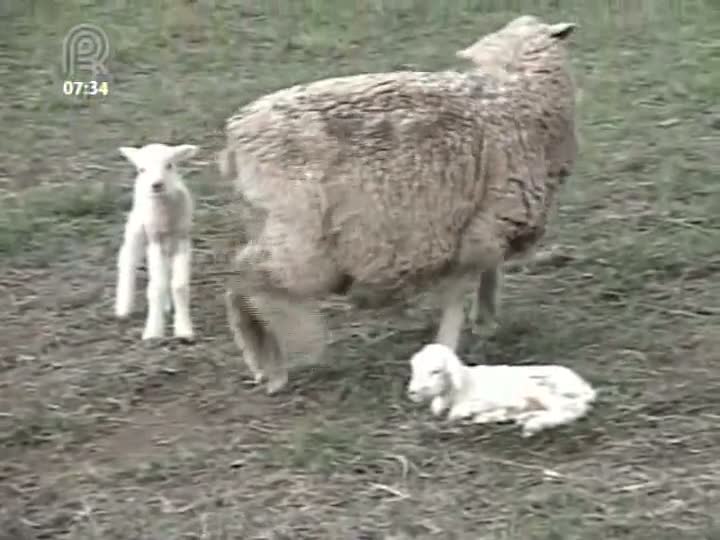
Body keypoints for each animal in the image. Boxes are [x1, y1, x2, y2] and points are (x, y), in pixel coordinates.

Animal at [116, 141, 200, 340]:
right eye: (142, 169)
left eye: (169, 165)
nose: (157, 185)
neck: (165, 218)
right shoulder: (154, 238)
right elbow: (157, 286)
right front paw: (153, 331)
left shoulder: (182, 238)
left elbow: (179, 285)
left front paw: (184, 330)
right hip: (137, 225)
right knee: (127, 259)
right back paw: (123, 308)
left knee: (167, 270)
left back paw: (167, 306)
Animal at [218, 14, 580, 394]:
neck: (515, 97)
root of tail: (236, 140)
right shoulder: (484, 226)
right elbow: (459, 291)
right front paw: (452, 343)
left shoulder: (483, 223)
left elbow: (488, 273)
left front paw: (485, 319)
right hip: (301, 242)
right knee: (246, 280)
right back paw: (270, 366)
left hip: (270, 226)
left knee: (243, 279)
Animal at [404, 344, 596, 436]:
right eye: (414, 368)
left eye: (436, 371)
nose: (413, 392)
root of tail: (585, 387)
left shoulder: (499, 398)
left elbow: (459, 411)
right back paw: (524, 418)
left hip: (543, 387)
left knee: (569, 411)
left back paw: (532, 425)